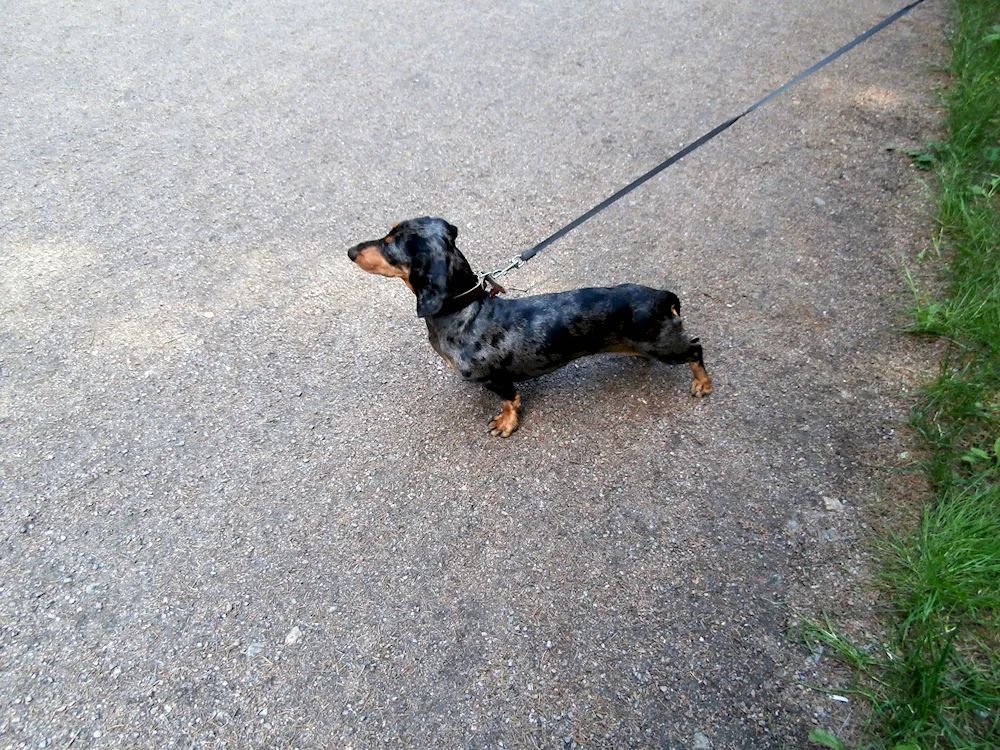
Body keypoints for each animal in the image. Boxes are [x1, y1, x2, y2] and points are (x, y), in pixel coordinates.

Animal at [348, 217, 708, 438]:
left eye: (390, 242)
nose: (350, 251)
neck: (464, 309)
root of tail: (661, 295)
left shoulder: (495, 378)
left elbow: (510, 398)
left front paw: (506, 423)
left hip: (665, 346)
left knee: (695, 348)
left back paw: (702, 384)